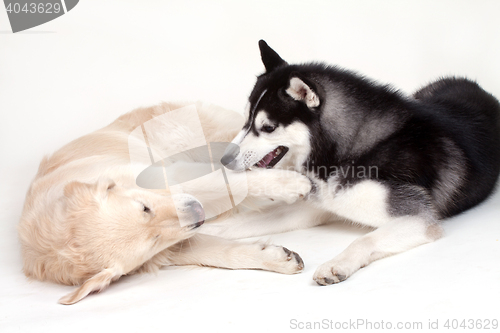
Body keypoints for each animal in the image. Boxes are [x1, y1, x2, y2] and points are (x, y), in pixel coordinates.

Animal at [19, 101, 310, 304]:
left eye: (144, 207)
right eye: (154, 240)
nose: (198, 212)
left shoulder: (170, 175)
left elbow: (228, 183)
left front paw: (289, 185)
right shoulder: (173, 245)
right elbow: (219, 252)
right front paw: (274, 258)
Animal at [219, 40, 500, 286]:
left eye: (268, 127)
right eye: (246, 120)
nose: (224, 159)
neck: (348, 152)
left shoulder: (419, 218)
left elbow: (365, 240)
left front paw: (336, 265)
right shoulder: (322, 202)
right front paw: (214, 230)